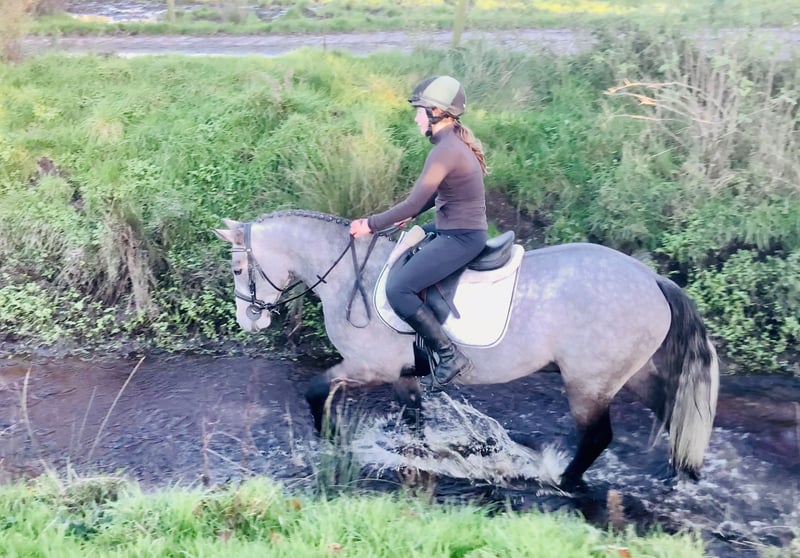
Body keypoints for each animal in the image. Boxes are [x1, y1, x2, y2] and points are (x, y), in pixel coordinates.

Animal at [213, 209, 719, 491]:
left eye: (238, 268)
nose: (249, 321)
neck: (349, 276)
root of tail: (651, 278)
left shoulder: (368, 367)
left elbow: (316, 390)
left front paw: (331, 442)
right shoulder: (402, 374)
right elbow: (414, 424)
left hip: (588, 384)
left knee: (598, 438)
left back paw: (563, 482)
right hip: (631, 374)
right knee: (672, 411)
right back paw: (682, 475)